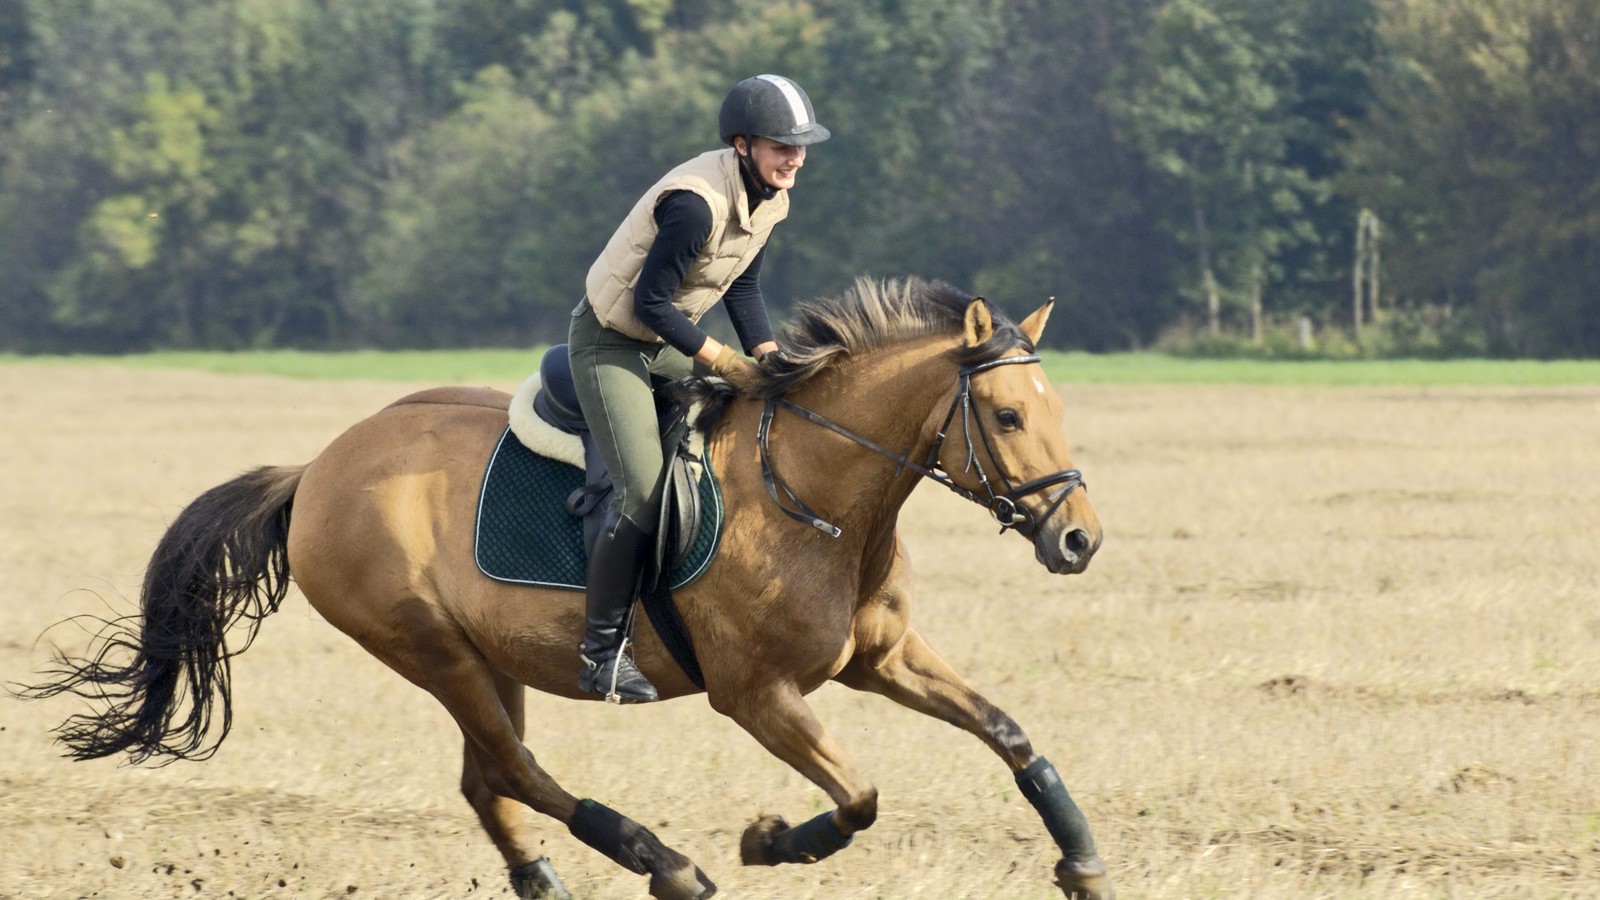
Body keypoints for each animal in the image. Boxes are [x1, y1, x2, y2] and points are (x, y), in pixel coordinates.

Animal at [31, 277, 1120, 890]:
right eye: (1008, 417)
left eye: (1056, 406)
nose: (1078, 540)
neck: (819, 493)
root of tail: (317, 471)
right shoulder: (755, 695)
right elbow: (858, 797)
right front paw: (769, 842)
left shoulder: (883, 658)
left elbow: (1011, 735)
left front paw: (1081, 861)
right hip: (430, 648)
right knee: (516, 773)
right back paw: (665, 864)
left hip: (486, 658)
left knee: (489, 783)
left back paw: (565, 879)